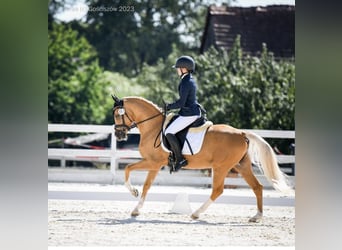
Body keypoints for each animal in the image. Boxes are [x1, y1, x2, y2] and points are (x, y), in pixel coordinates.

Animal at [113, 95, 294, 223]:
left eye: (117, 115)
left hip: (221, 167)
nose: (119, 135)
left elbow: (133, 173)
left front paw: (134, 198)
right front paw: (136, 205)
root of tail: (242, 133)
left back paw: (196, 213)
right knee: (257, 187)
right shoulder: (154, 164)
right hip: (241, 166)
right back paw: (257, 216)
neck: (153, 127)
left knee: (218, 190)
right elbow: (141, 181)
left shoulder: (154, 163)